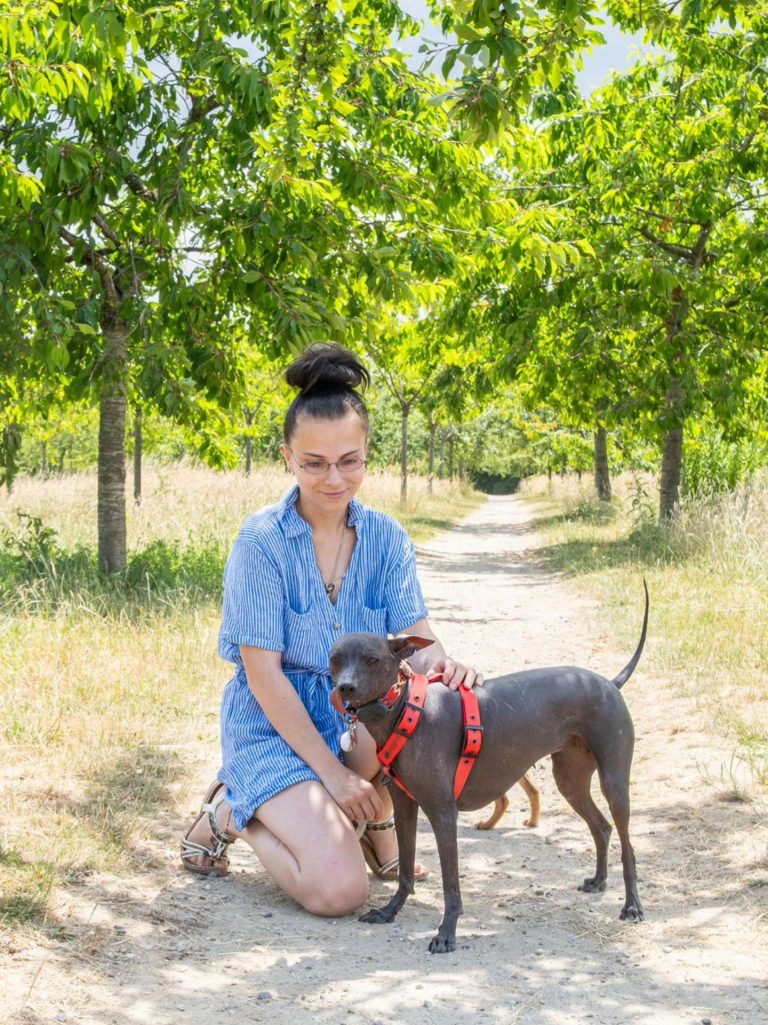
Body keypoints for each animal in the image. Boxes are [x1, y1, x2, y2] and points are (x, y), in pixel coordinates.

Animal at [328, 583, 648, 953]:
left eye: (373, 659)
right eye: (335, 659)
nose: (345, 687)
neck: (409, 710)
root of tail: (610, 683)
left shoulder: (442, 812)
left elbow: (451, 885)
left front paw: (446, 933)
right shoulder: (406, 808)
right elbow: (405, 871)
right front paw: (390, 911)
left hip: (614, 780)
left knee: (627, 845)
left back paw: (633, 905)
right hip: (570, 781)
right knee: (601, 827)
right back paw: (599, 880)